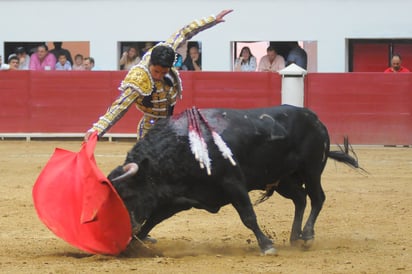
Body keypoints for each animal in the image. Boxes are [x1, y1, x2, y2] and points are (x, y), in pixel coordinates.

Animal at [108, 104, 358, 255]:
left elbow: (248, 216)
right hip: (283, 179)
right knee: (301, 198)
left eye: (127, 194)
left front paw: (266, 245)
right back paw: (295, 237)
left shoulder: (233, 184)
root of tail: (314, 118)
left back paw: (307, 235)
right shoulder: (176, 199)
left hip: (312, 169)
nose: (124, 227)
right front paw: (131, 245)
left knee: (317, 198)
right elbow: (151, 221)